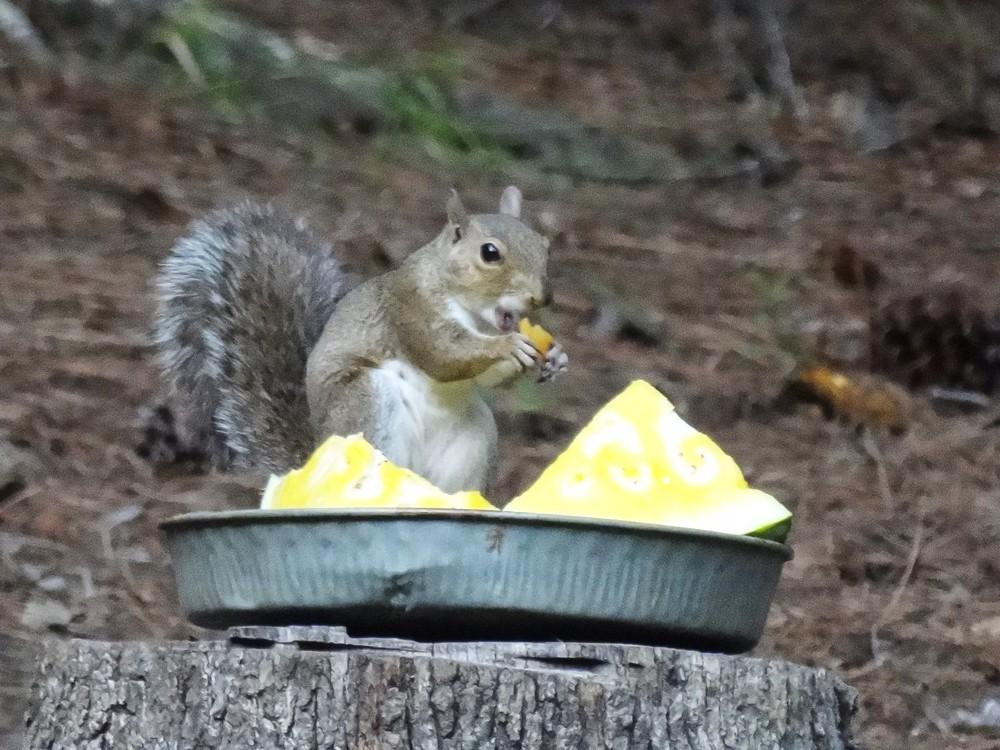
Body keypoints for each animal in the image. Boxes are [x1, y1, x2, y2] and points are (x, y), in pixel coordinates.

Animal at [153, 186, 567, 494]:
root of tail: (316, 454)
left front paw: (556, 358)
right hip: (367, 403)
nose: (542, 298)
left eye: (545, 245)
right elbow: (443, 354)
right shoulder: (409, 310)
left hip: (474, 443)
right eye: (490, 253)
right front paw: (506, 347)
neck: (474, 312)